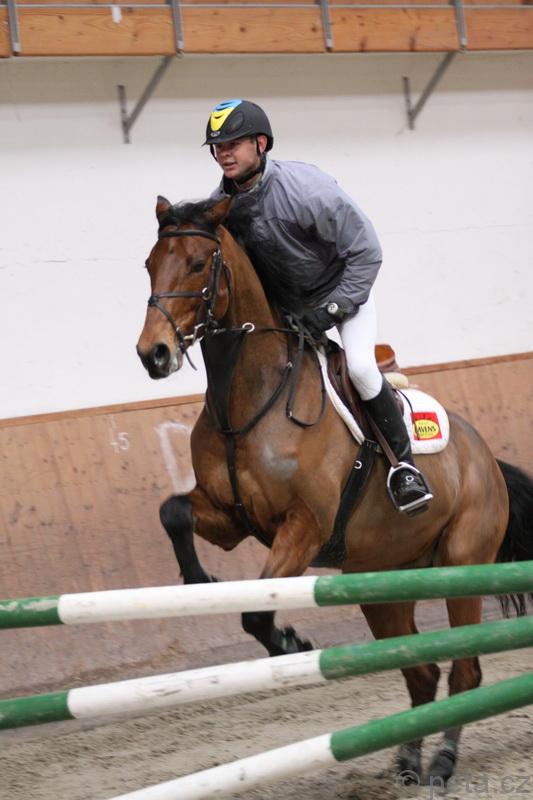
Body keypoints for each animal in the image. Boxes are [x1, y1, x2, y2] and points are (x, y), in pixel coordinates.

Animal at [136, 194, 533, 785]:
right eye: (149, 264)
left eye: (197, 264)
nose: (153, 354)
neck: (249, 396)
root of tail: (483, 455)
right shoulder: (232, 519)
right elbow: (173, 513)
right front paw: (201, 579)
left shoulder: (303, 529)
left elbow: (257, 611)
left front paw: (289, 642)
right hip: (381, 585)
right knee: (422, 673)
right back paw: (408, 761)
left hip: (462, 568)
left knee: (464, 671)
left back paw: (441, 763)